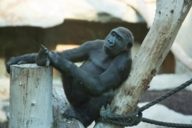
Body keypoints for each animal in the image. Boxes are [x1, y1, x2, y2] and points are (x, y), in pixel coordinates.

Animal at [6, 26, 134, 126]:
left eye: (119, 38)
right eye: (113, 34)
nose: (111, 41)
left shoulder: (123, 60)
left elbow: (100, 84)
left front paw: (54, 58)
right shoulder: (93, 44)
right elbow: (66, 54)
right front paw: (17, 59)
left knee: (106, 93)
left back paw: (82, 117)